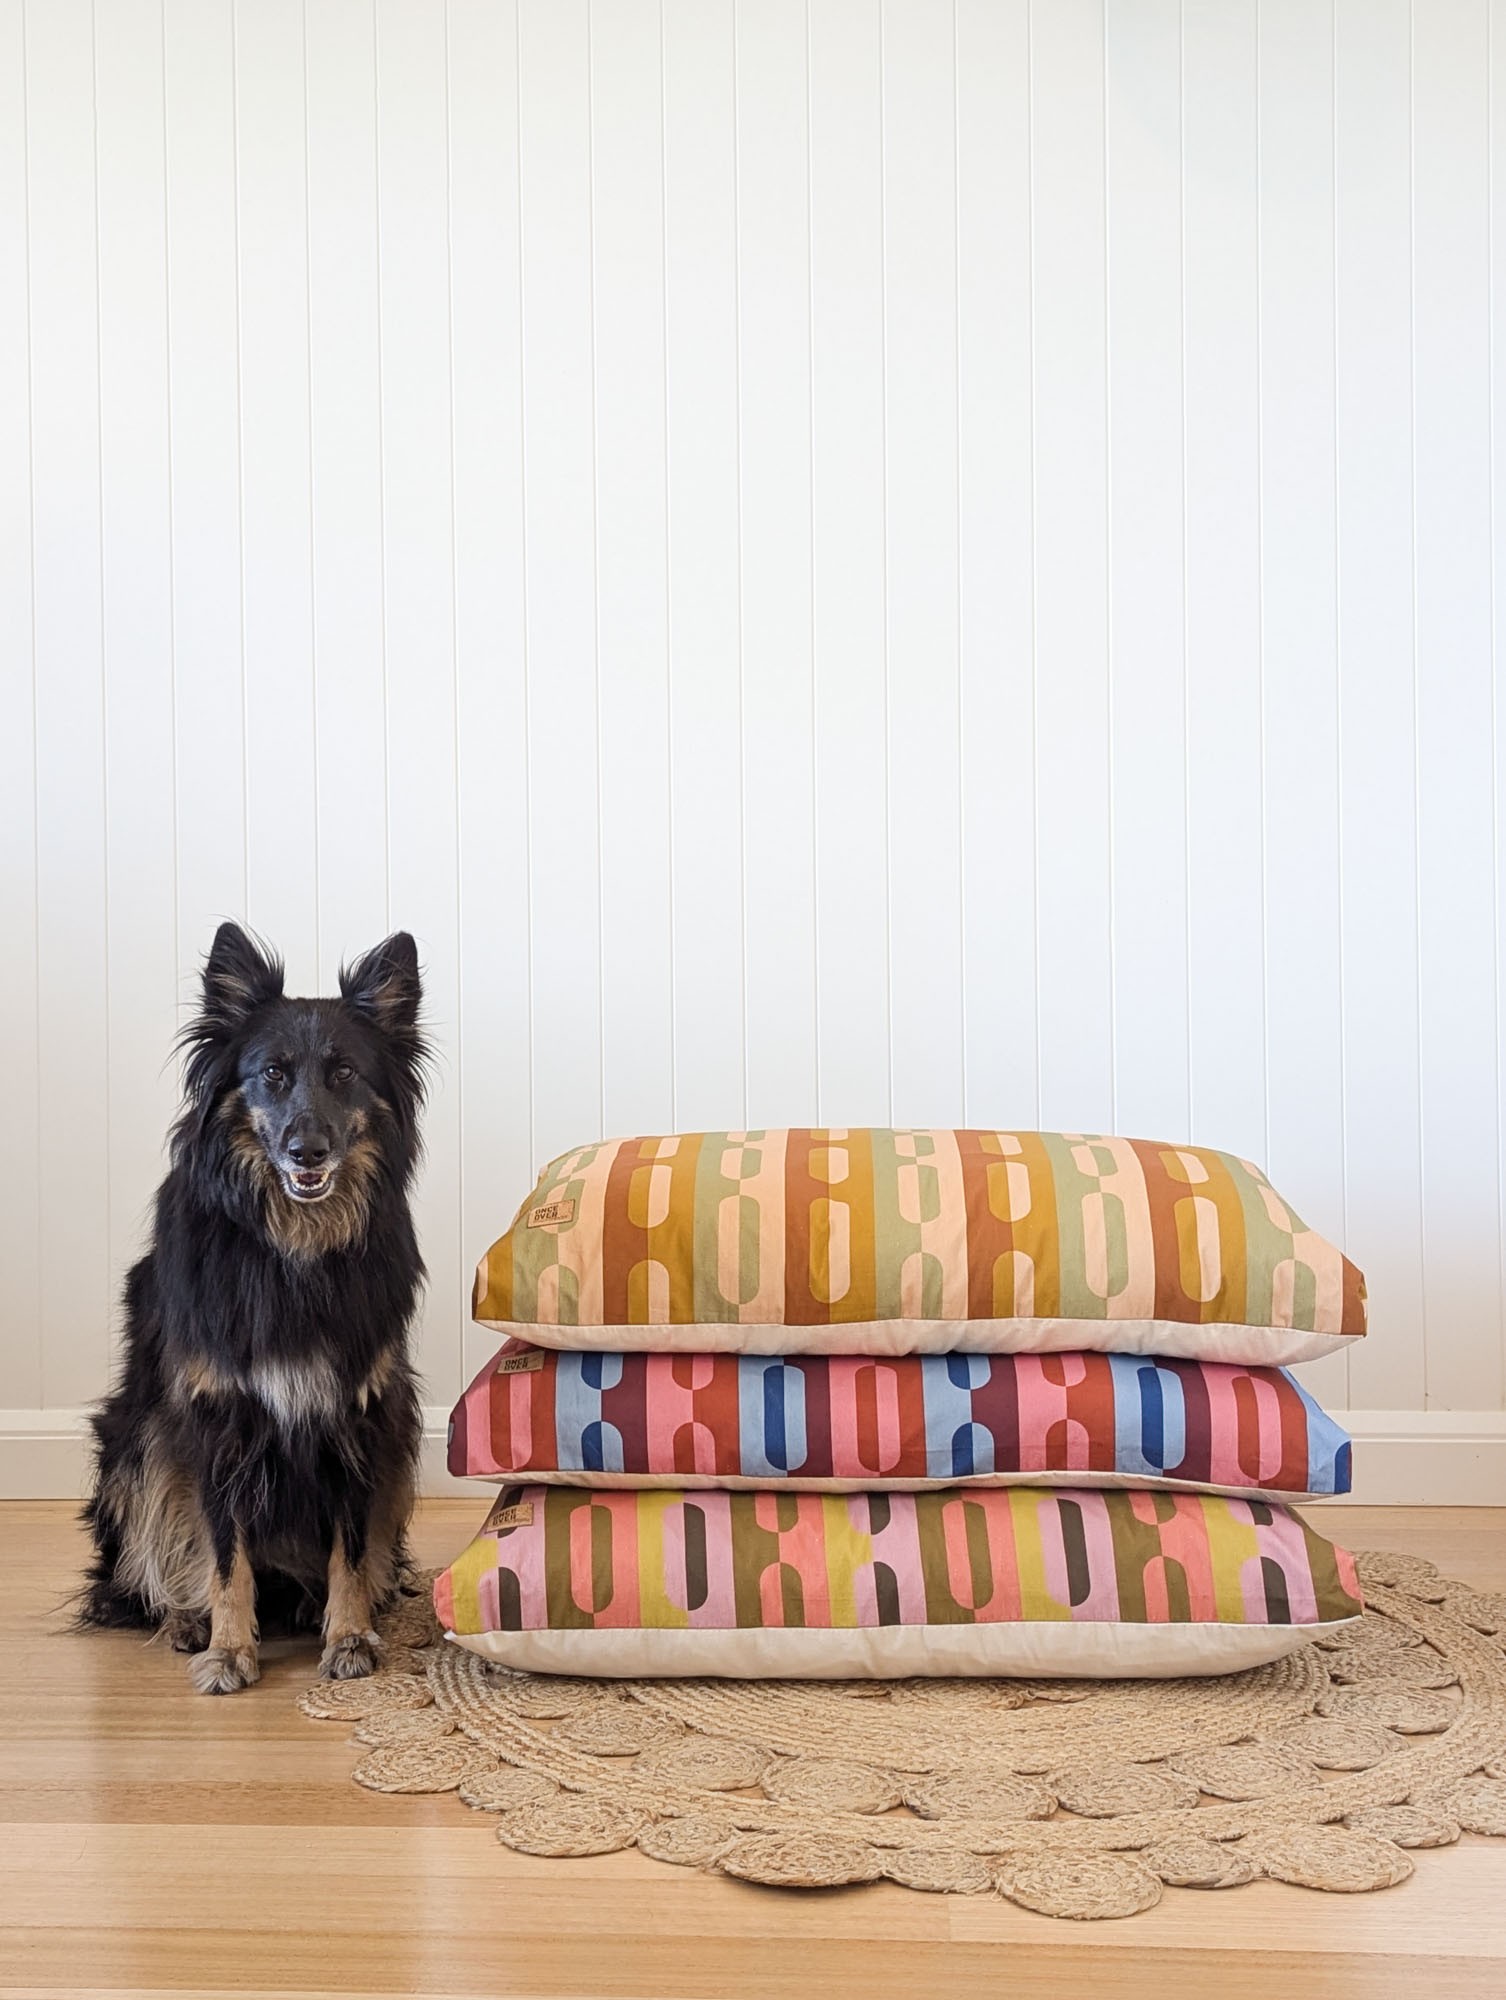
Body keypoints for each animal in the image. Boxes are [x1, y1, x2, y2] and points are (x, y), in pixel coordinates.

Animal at [79, 921, 428, 1693]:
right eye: (272, 1074)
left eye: (344, 1073)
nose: (308, 1150)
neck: (292, 1250)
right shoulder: (218, 1422)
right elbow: (224, 1553)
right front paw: (230, 1649)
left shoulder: (357, 1416)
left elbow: (350, 1548)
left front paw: (349, 1634)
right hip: (136, 1440)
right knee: (146, 1573)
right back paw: (185, 1619)